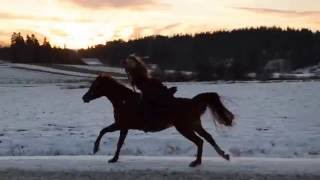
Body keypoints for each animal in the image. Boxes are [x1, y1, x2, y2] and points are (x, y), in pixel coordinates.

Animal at [81, 74, 234, 167]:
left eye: (95, 85)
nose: (84, 98)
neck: (124, 101)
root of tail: (193, 102)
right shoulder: (124, 127)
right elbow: (118, 142)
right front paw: (114, 158)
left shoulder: (121, 125)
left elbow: (103, 131)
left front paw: (96, 149)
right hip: (194, 125)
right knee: (207, 138)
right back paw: (221, 155)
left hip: (184, 128)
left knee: (200, 141)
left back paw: (197, 162)